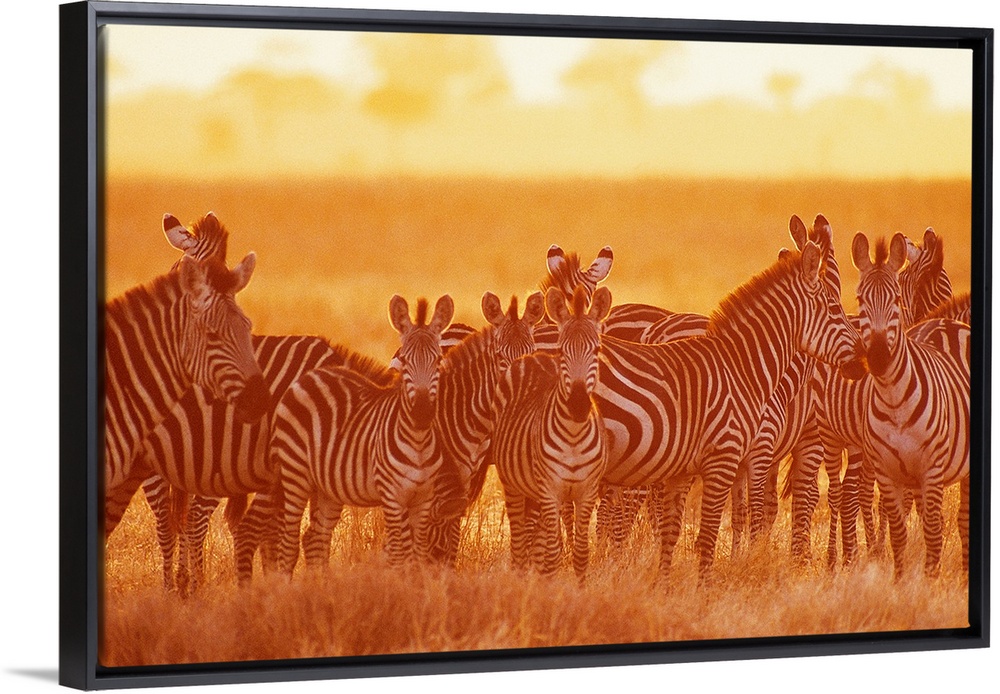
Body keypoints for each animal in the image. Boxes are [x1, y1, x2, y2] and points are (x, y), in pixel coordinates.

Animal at [272, 295, 456, 573]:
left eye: (437, 361)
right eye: (404, 362)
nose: (422, 413)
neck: (419, 442)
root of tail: (311, 375)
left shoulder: (423, 501)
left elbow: (417, 557)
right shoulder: (392, 498)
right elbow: (398, 556)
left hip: (327, 487)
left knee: (316, 537)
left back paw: (320, 582)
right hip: (295, 474)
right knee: (289, 543)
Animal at [491, 285, 610, 580]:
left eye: (597, 350)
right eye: (561, 351)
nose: (578, 405)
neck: (574, 435)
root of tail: (529, 357)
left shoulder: (587, 492)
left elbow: (580, 553)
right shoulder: (550, 491)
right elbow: (553, 553)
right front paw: (549, 588)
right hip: (512, 484)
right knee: (518, 544)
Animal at [593, 238, 866, 582]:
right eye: (834, 308)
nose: (866, 358)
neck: (744, 366)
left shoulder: (738, 458)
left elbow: (737, 514)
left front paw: (741, 561)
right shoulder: (772, 447)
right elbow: (775, 506)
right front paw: (769, 562)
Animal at [851, 232, 970, 578]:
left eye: (896, 300)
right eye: (860, 300)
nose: (877, 358)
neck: (894, 401)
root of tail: (945, 322)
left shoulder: (931, 469)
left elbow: (932, 528)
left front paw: (929, 582)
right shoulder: (888, 472)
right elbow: (899, 531)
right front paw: (901, 581)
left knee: (960, 520)